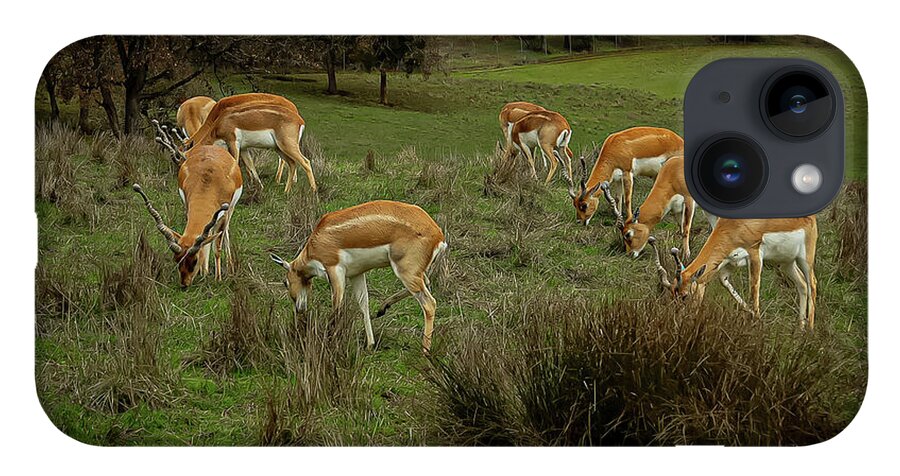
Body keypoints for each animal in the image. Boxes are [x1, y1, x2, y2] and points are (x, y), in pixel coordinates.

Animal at [134, 122, 243, 287]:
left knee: (225, 232)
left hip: (231, 210)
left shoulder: (223, 213)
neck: (208, 182)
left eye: (194, 260)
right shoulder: (188, 206)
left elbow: (217, 246)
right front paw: (204, 273)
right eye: (177, 260)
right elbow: (205, 240)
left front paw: (217, 279)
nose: (184, 284)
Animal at [183, 92, 316, 193]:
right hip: (279, 148)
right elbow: (250, 165)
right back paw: (286, 191)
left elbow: (235, 164)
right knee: (292, 163)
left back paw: (313, 192)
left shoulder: (233, 143)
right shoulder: (244, 148)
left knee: (305, 162)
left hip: (287, 146)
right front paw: (259, 186)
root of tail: (299, 119)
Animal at [269, 200, 448, 352]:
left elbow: (337, 306)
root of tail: (438, 235)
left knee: (429, 303)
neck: (316, 241)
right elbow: (363, 304)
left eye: (285, 282)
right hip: (413, 272)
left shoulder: (335, 270)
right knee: (426, 283)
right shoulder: (357, 274)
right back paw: (382, 309)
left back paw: (425, 350)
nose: (299, 309)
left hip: (405, 271)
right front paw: (370, 344)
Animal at [647, 215, 818, 329]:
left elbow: (754, 289)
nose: (679, 320)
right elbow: (726, 284)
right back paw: (800, 328)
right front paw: (752, 315)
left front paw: (756, 321)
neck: (735, 225)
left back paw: (809, 330)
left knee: (812, 284)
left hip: (805, 259)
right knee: (802, 284)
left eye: (684, 296)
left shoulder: (755, 255)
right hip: (785, 263)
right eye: (671, 295)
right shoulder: (728, 263)